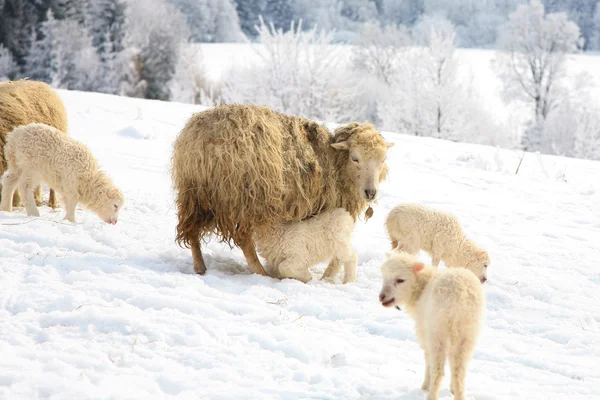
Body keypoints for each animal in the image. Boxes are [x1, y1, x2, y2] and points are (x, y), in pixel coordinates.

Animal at [382, 252, 486, 400]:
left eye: (400, 280)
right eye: (384, 277)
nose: (381, 297)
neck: (422, 286)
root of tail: (459, 300)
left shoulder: (424, 330)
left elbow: (427, 358)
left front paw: (425, 386)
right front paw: (452, 389)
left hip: (438, 331)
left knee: (438, 369)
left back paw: (431, 394)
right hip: (468, 334)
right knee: (459, 371)